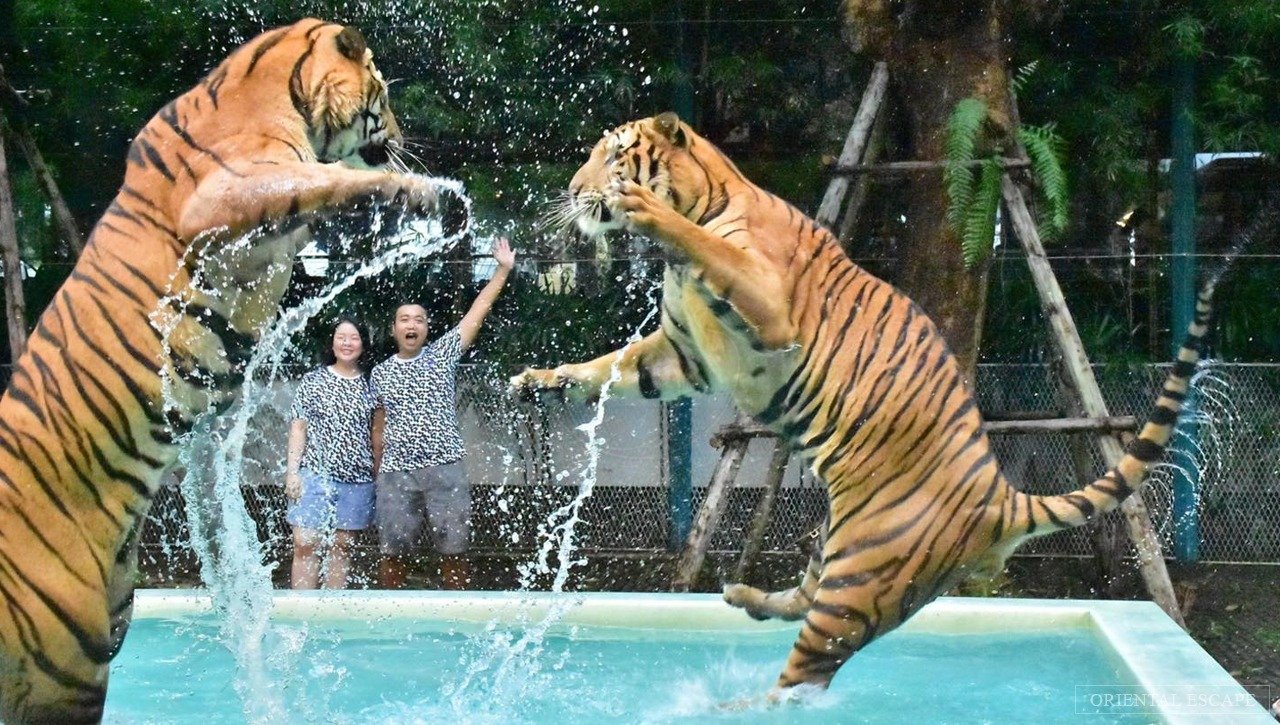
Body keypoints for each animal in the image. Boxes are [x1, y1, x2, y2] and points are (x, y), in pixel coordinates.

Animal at [0, 19, 435, 722]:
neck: (274, 85)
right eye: (384, 93)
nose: (400, 136)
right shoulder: (232, 190)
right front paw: (433, 198)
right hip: (64, 657)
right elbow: (328, 182)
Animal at [512, 112, 1218, 696]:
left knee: (804, 678)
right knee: (802, 608)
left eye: (614, 155)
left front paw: (644, 210)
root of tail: (1000, 496)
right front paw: (544, 379)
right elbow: (613, 366)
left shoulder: (766, 305)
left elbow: (704, 246)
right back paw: (744, 596)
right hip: (836, 547)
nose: (573, 190)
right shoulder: (683, 354)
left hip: (861, 579)